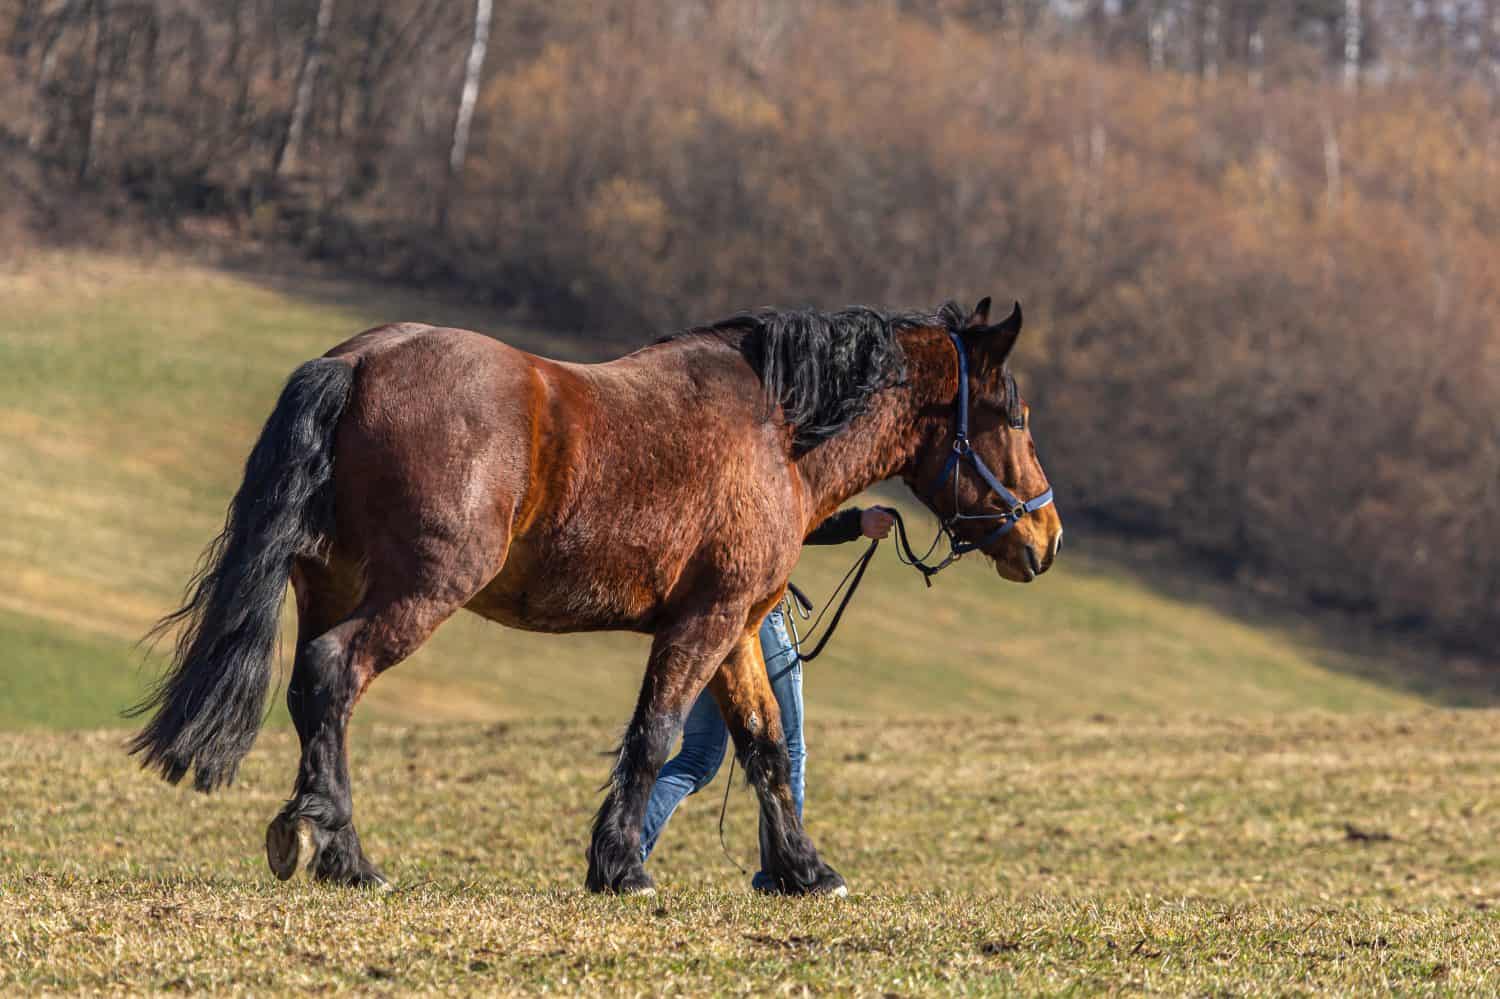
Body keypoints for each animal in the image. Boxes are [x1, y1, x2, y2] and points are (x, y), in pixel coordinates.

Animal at [129, 295, 1062, 896]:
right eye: (1013, 416)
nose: (1047, 540)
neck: (777, 431)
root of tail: (356, 361)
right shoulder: (703, 624)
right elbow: (652, 735)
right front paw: (620, 866)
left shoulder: (735, 630)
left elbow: (764, 744)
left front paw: (804, 869)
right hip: (419, 591)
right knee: (333, 672)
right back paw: (345, 853)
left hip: (332, 583)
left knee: (310, 689)